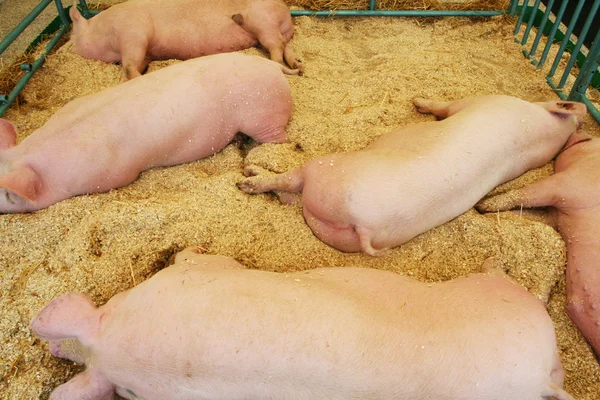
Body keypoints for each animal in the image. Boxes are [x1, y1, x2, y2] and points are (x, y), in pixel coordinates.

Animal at [68, 0, 302, 81]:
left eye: (73, 36)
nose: (69, 48)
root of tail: (286, 12)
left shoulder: (133, 33)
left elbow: (129, 64)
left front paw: (135, 79)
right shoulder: (144, 52)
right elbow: (137, 64)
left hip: (263, 23)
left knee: (276, 47)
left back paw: (278, 63)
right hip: (275, 31)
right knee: (286, 46)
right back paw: (299, 66)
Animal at [238, 95, 584, 255]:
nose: (579, 113)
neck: (542, 130)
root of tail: (364, 226)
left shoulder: (477, 101)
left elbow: (444, 107)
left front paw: (417, 101)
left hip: (326, 170)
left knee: (289, 180)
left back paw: (247, 178)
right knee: (289, 199)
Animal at [478, 133, 600, 358]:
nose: (575, 134)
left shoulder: (566, 185)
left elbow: (526, 193)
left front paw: (484, 205)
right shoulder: (557, 212)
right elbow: (533, 213)